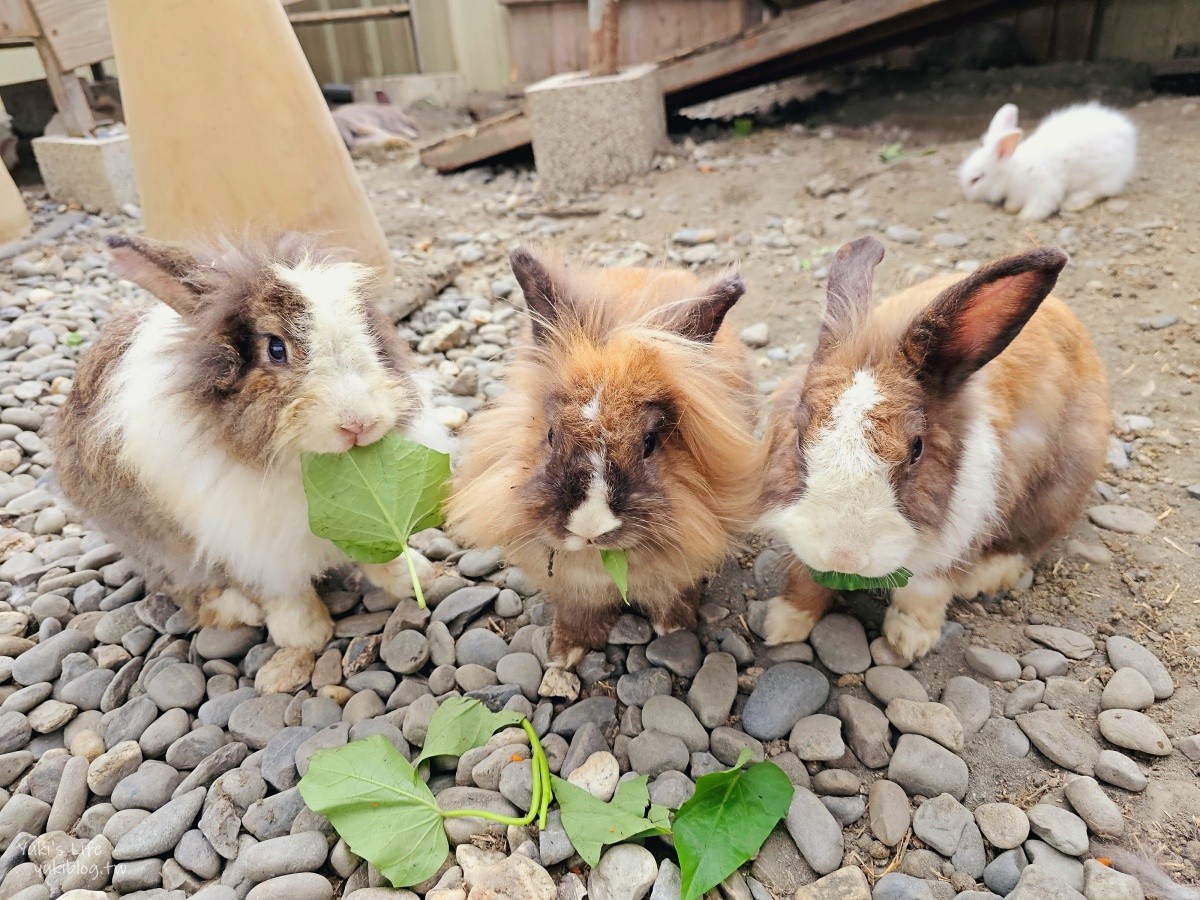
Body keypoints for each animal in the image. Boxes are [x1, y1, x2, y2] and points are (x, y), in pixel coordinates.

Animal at [50, 236, 446, 652]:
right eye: (275, 348)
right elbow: (279, 592)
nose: (360, 423)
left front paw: (414, 577)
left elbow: (379, 553)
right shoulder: (246, 547)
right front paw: (305, 636)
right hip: (150, 542)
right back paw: (238, 611)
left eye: (370, 331)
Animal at [446, 247, 763, 672]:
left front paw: (673, 627)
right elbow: (578, 610)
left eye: (649, 442)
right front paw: (564, 654)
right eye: (550, 435)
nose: (591, 526)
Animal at [763, 237, 1108, 662]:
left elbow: (924, 590)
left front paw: (908, 641)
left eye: (917, 449)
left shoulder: (955, 535)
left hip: (1061, 485)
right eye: (798, 436)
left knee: (1032, 540)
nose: (844, 556)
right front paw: (783, 624)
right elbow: (804, 579)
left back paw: (984, 577)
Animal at [955, 101, 1132, 220]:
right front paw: (1011, 208)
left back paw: (1072, 203)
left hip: (1104, 178)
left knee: (1098, 191)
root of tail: (1126, 131)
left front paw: (1024, 216)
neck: (1011, 173)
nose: (967, 196)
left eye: (976, 179)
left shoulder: (1043, 188)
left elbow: (1040, 205)